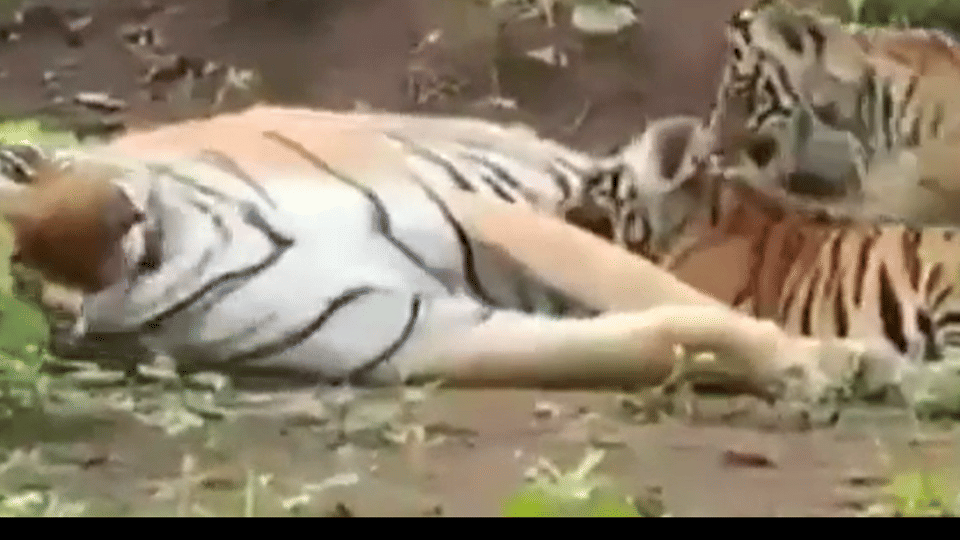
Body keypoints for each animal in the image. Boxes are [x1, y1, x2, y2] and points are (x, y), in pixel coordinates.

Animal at [0, 105, 875, 400]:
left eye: (15, 164)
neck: (187, 245)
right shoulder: (420, 332)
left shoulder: (479, 212)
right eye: (15, 270)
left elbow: (658, 291)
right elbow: (653, 333)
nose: (114, 220)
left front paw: (843, 358)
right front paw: (812, 364)